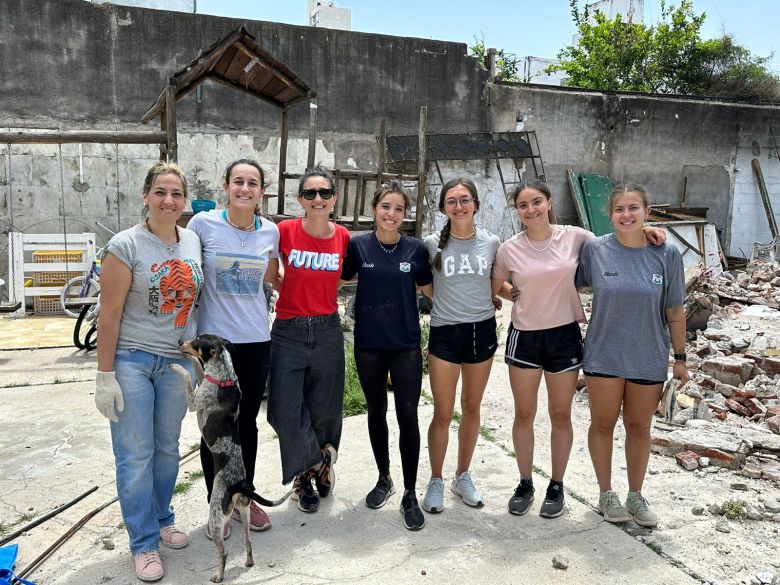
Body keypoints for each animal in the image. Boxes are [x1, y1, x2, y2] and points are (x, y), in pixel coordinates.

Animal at [172, 334, 290, 580]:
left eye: (196, 341)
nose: (180, 343)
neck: (224, 377)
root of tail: (240, 484)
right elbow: (198, 367)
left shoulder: (194, 402)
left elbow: (188, 376)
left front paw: (177, 366)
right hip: (244, 512)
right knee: (248, 541)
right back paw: (249, 562)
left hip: (216, 515)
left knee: (224, 553)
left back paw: (219, 576)